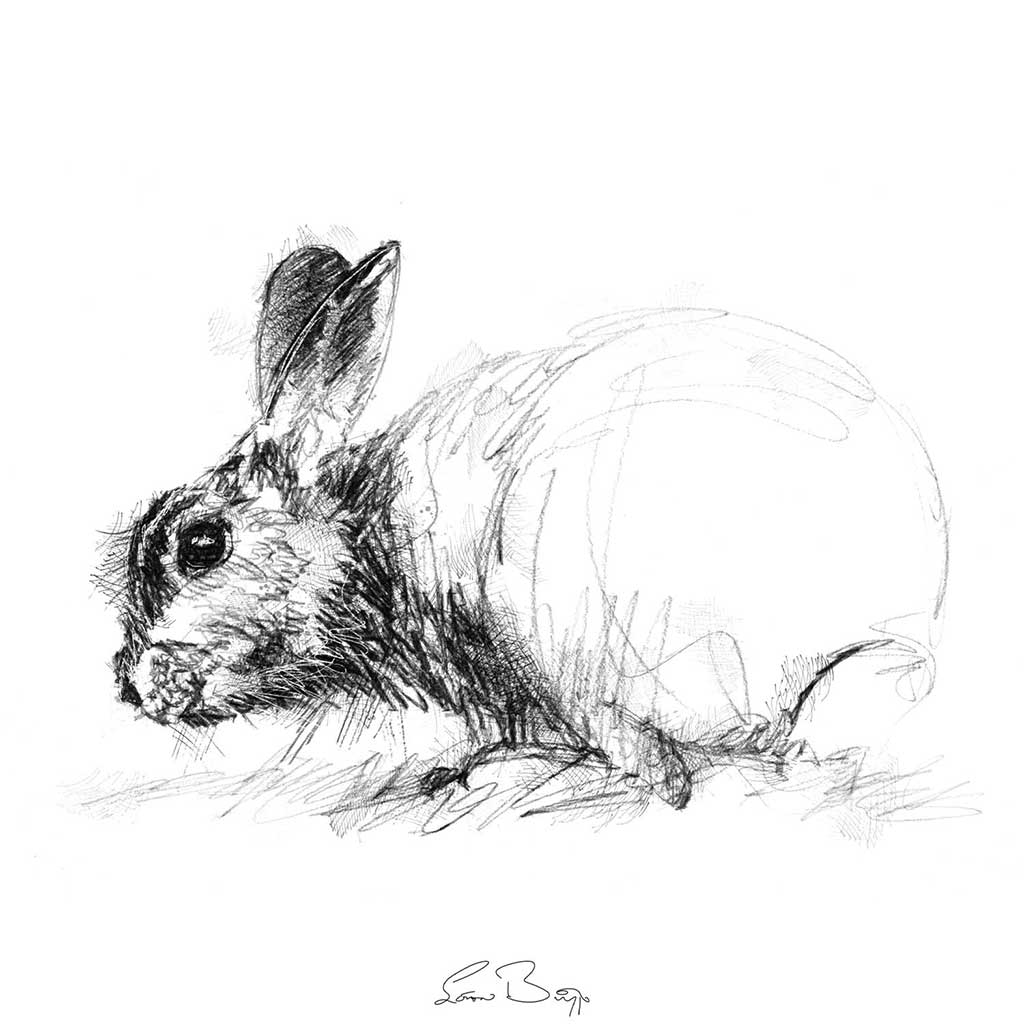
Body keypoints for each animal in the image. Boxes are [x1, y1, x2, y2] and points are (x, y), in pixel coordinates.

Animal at [104, 239, 948, 811]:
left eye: (201, 545)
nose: (132, 685)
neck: (367, 539)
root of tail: (885, 637)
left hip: (567, 629)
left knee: (658, 767)